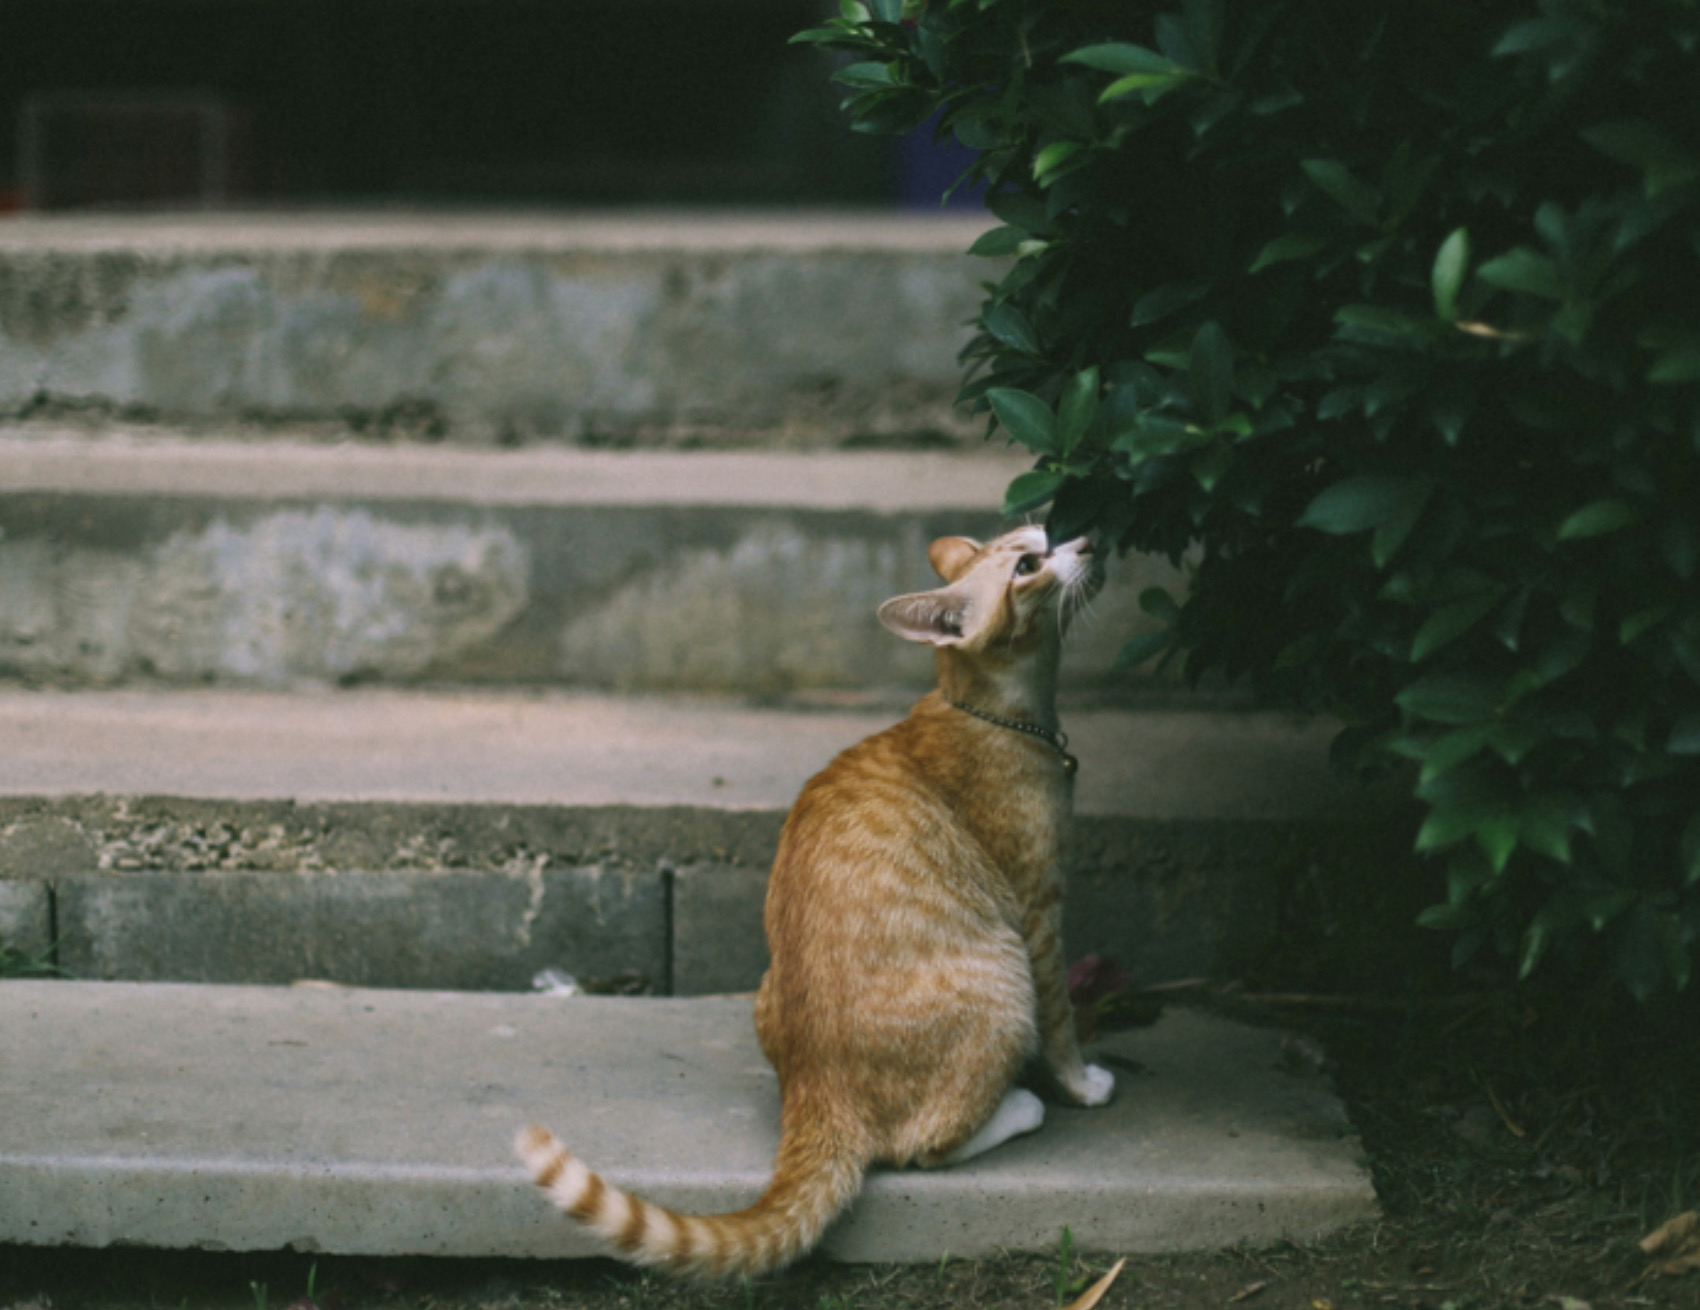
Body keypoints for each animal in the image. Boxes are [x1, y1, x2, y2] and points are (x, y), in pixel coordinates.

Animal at [513, 526, 1115, 1277]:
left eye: (1045, 533)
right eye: (1030, 564)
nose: (1090, 539)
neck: (999, 711)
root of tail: (816, 1092)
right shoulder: (1039, 912)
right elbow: (1062, 1021)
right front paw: (1081, 1085)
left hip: (767, 987)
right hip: (1003, 980)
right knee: (923, 1147)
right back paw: (1020, 1106)